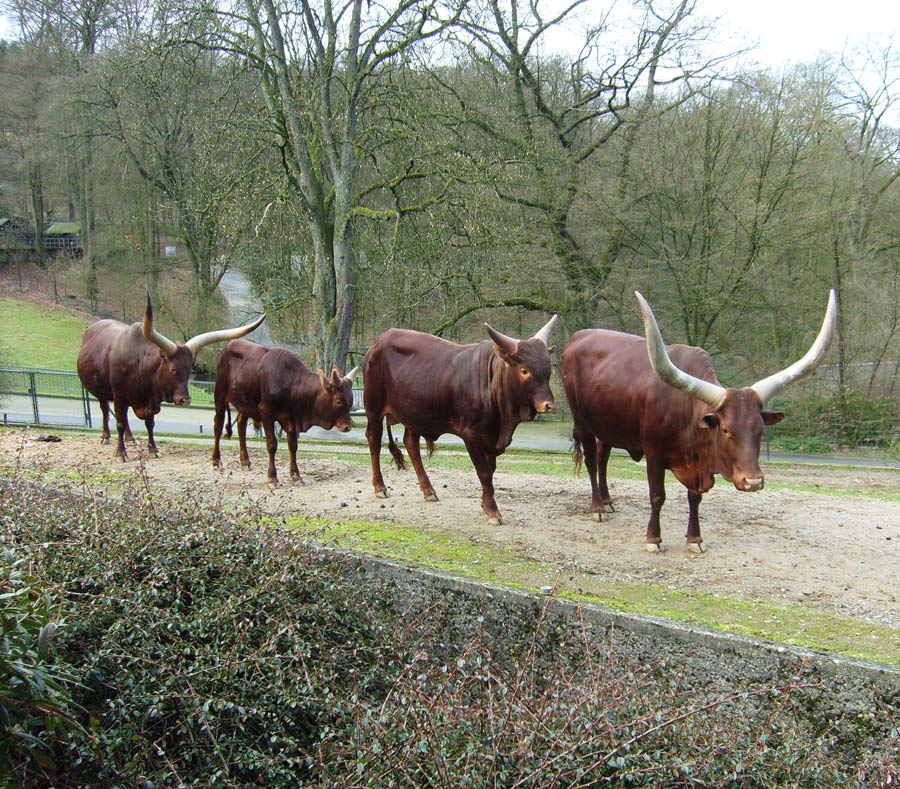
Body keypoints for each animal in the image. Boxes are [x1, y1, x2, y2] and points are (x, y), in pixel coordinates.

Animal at [76, 294, 264, 456]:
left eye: (189, 370)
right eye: (173, 369)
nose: (185, 400)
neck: (141, 366)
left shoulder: (149, 401)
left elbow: (149, 424)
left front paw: (153, 449)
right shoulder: (120, 395)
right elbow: (120, 422)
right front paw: (121, 453)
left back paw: (130, 438)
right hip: (103, 392)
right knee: (105, 410)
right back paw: (106, 437)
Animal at [213, 338, 356, 484]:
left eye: (351, 399)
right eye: (338, 401)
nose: (347, 427)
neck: (290, 383)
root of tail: (227, 346)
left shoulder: (291, 418)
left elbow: (293, 446)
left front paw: (295, 475)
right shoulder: (266, 412)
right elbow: (272, 444)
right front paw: (272, 477)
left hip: (245, 403)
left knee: (241, 425)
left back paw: (245, 462)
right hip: (220, 394)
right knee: (218, 425)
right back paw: (216, 461)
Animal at [362, 314, 560, 524]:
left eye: (548, 369)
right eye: (524, 370)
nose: (549, 405)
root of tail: (378, 342)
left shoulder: (491, 438)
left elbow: (491, 470)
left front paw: (485, 504)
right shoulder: (471, 435)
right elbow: (484, 472)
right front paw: (492, 511)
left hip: (414, 412)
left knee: (411, 443)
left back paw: (428, 490)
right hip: (373, 408)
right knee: (374, 440)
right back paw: (380, 487)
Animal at [564, 290, 836, 556]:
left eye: (760, 431)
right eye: (725, 430)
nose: (753, 482)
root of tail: (577, 337)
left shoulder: (697, 463)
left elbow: (694, 498)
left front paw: (695, 539)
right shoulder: (654, 452)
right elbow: (657, 495)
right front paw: (653, 538)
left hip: (607, 426)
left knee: (603, 459)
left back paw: (607, 501)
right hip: (582, 422)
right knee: (591, 461)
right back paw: (598, 508)